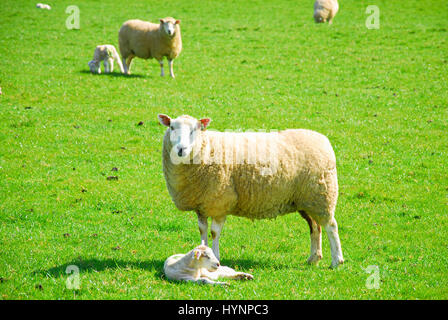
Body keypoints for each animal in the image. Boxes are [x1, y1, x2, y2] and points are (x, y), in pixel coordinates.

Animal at [158, 114, 346, 268]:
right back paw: (313, 258)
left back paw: (336, 261)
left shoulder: (220, 201)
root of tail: (323, 140)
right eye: (172, 127)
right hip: (305, 200)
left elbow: (214, 232)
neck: (207, 149)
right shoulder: (202, 205)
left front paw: (216, 256)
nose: (181, 149)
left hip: (322, 195)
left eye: (194, 130)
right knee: (315, 227)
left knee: (331, 226)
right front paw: (203, 252)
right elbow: (202, 231)